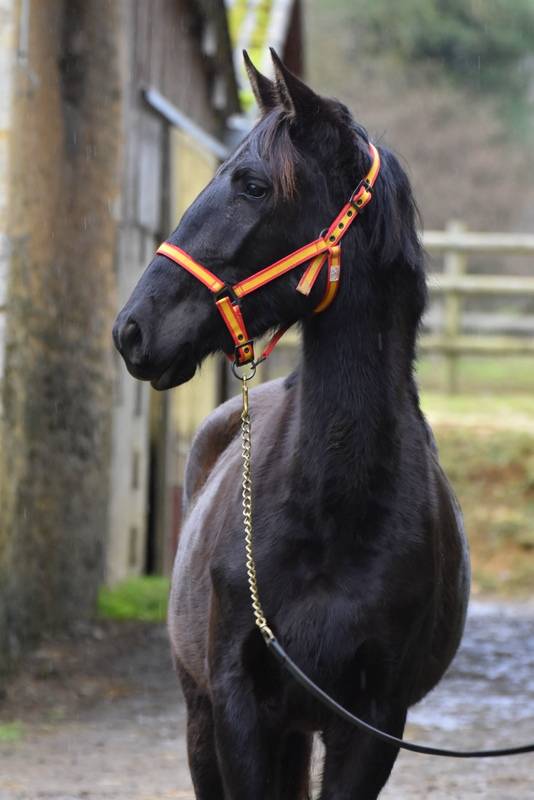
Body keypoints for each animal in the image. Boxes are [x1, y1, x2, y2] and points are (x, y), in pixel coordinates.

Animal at [113, 50, 470, 799]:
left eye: (252, 184)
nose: (132, 329)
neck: (334, 505)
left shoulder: (373, 720)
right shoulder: (237, 704)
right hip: (202, 716)